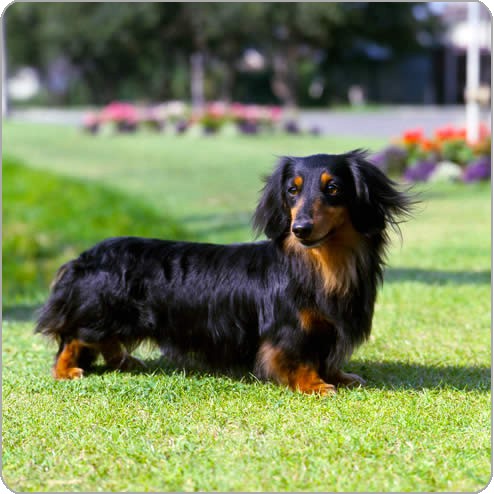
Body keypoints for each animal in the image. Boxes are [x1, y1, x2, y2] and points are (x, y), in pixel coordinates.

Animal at [35, 149, 412, 396]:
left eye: (333, 188)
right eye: (292, 190)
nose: (300, 228)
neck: (321, 264)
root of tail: (85, 256)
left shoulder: (326, 328)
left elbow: (326, 357)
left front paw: (341, 376)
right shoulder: (290, 330)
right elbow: (299, 359)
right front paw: (315, 384)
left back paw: (125, 361)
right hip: (100, 310)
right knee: (74, 337)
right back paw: (66, 370)